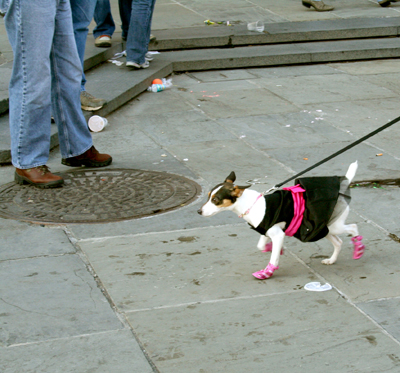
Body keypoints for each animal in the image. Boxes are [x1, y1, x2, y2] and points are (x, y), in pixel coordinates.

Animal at [198, 161, 366, 280]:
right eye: (208, 196)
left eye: (215, 200)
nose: (199, 211)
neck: (251, 205)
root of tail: (343, 186)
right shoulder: (267, 230)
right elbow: (261, 245)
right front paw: (272, 248)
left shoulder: (277, 234)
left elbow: (273, 258)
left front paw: (267, 271)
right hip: (323, 227)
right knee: (338, 242)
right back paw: (332, 260)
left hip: (334, 225)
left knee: (353, 227)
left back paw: (358, 249)